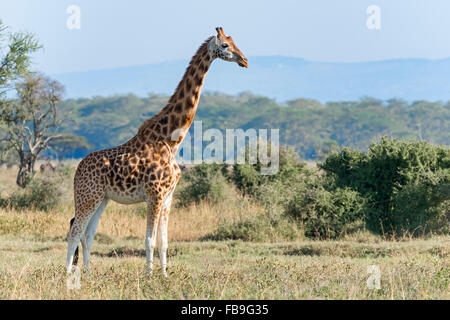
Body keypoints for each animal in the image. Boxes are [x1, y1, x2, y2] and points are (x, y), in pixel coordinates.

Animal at [66, 27, 248, 276]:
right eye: (225, 46)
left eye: (233, 41)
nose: (244, 60)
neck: (171, 141)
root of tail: (77, 170)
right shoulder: (155, 194)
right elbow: (149, 240)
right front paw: (149, 275)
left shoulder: (168, 196)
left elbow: (164, 241)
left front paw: (164, 275)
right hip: (87, 195)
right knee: (75, 231)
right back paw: (66, 274)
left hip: (101, 198)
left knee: (88, 234)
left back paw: (89, 274)